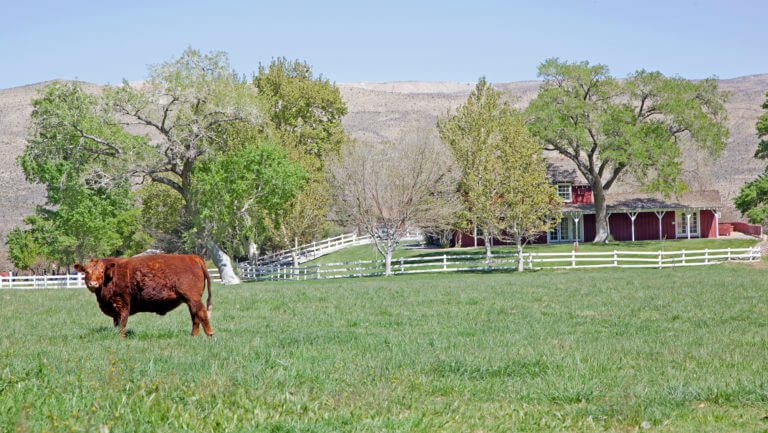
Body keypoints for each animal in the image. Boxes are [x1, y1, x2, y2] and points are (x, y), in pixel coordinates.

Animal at [74, 253, 212, 338]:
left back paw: (209, 334)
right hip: (191, 301)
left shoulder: (122, 302)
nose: (93, 283)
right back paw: (193, 335)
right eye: (86, 271)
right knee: (195, 316)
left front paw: (121, 338)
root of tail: (192, 257)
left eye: (102, 272)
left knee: (201, 313)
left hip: (193, 298)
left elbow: (122, 322)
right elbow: (117, 322)